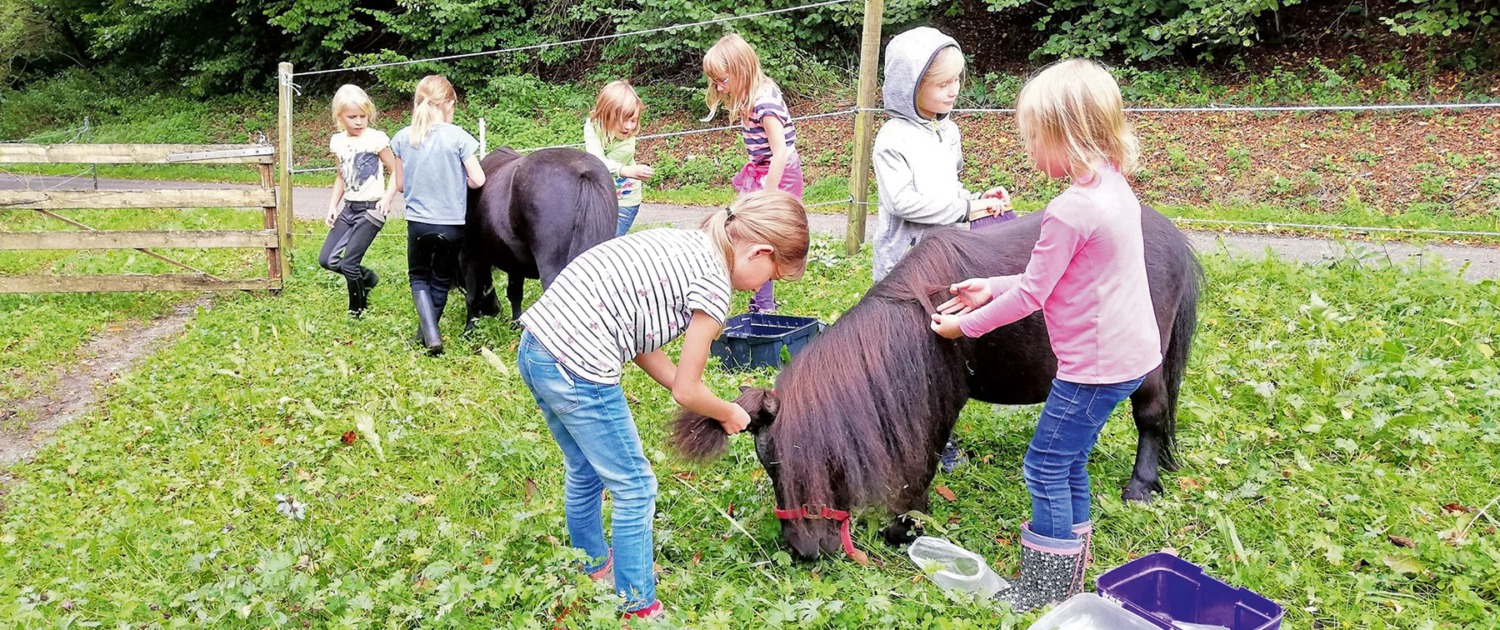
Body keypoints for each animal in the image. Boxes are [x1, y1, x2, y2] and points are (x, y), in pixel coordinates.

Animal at [459, 145, 618, 327]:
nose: (494, 310)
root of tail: (584, 172)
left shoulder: (469, 256)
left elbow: (471, 297)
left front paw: (469, 329)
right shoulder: (514, 264)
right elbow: (514, 294)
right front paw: (516, 323)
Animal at [675, 208, 1200, 558]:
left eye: (786, 466)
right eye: (769, 468)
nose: (803, 551)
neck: (920, 321)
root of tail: (1171, 236)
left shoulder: (936, 409)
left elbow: (921, 464)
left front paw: (904, 527)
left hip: (1147, 367)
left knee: (1151, 418)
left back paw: (1140, 487)